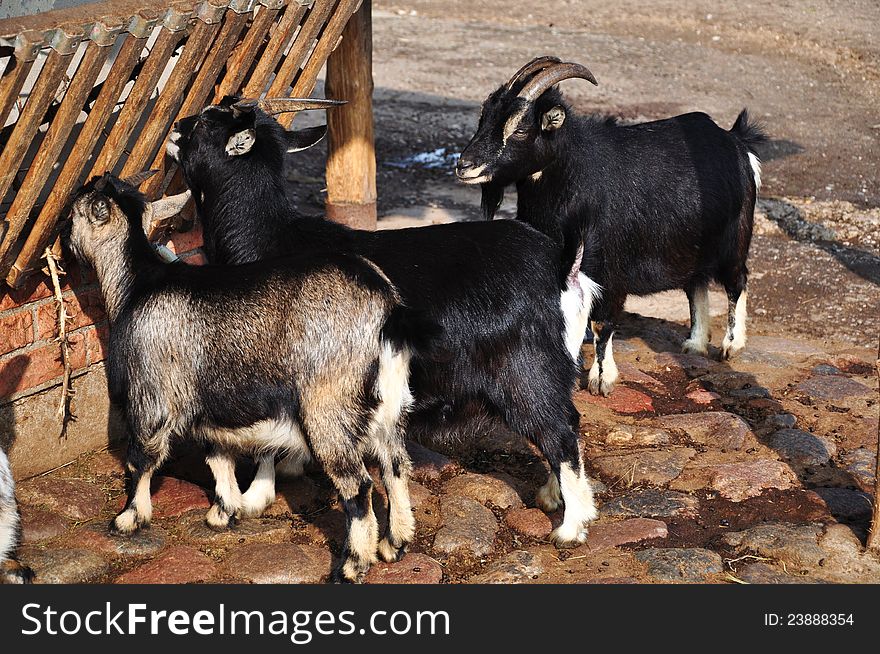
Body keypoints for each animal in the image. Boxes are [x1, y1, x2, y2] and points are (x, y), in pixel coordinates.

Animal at [69, 174, 426, 584]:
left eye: (74, 211)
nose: (64, 246)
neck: (137, 284)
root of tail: (388, 310)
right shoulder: (210, 402)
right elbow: (217, 455)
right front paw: (223, 512)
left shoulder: (151, 393)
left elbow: (140, 458)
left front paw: (129, 518)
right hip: (389, 405)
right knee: (395, 466)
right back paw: (394, 544)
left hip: (329, 405)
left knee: (358, 486)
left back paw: (351, 566)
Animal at [168, 97, 600, 548]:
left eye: (206, 121)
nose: (176, 128)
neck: (266, 237)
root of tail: (563, 267)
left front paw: (255, 496)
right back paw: (554, 497)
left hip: (525, 370)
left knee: (560, 431)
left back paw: (571, 527)